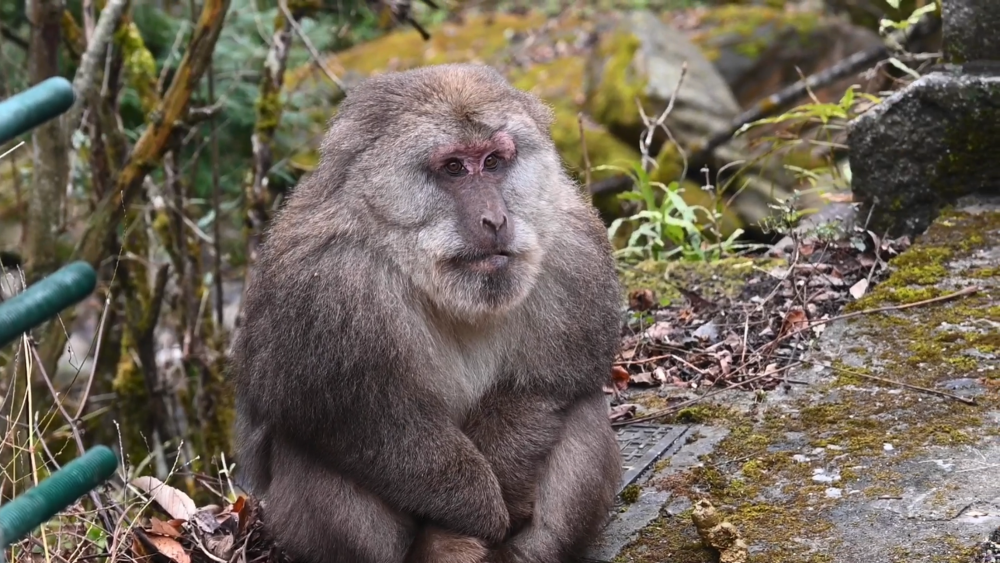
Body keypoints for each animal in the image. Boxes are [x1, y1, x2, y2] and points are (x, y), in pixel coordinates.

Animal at [229, 61, 624, 563]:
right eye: (454, 167)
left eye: (492, 162)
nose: (495, 219)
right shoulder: (327, 287)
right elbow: (363, 422)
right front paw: (478, 511)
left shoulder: (574, 249)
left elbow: (543, 387)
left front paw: (503, 498)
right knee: (306, 446)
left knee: (583, 405)